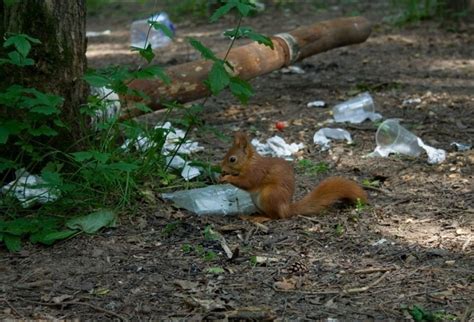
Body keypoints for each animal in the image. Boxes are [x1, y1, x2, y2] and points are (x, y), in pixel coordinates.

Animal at [220, 132, 368, 220]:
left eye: (232, 159)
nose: (221, 168)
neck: (250, 162)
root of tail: (286, 209)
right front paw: (221, 176)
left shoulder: (257, 171)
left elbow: (247, 182)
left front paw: (226, 178)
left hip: (269, 195)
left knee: (275, 216)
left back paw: (260, 218)